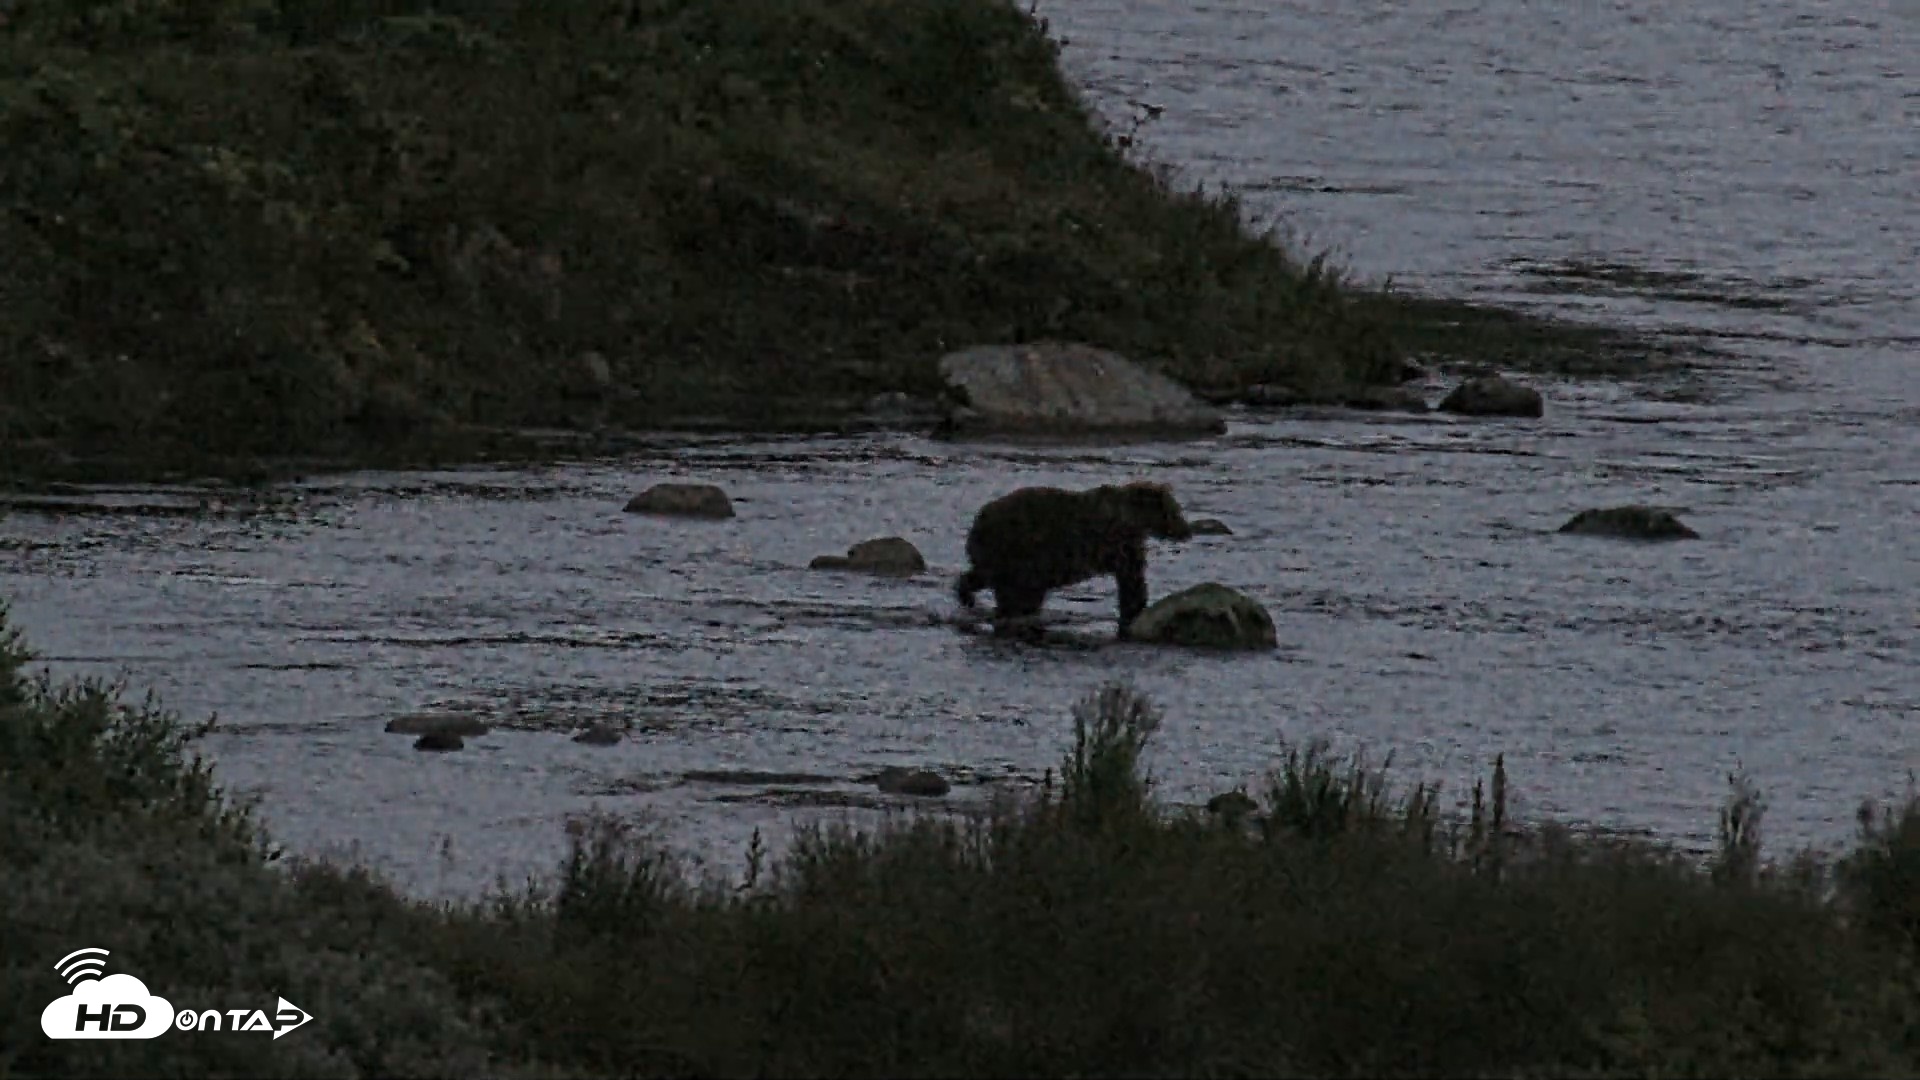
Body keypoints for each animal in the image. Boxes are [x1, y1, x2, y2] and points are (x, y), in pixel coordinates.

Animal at [955, 480, 1195, 641]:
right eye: (1176, 511)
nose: (1187, 532)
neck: (1135, 518)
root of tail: (978, 520)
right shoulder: (1120, 543)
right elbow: (1132, 579)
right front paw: (1135, 608)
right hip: (1017, 551)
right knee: (1006, 585)